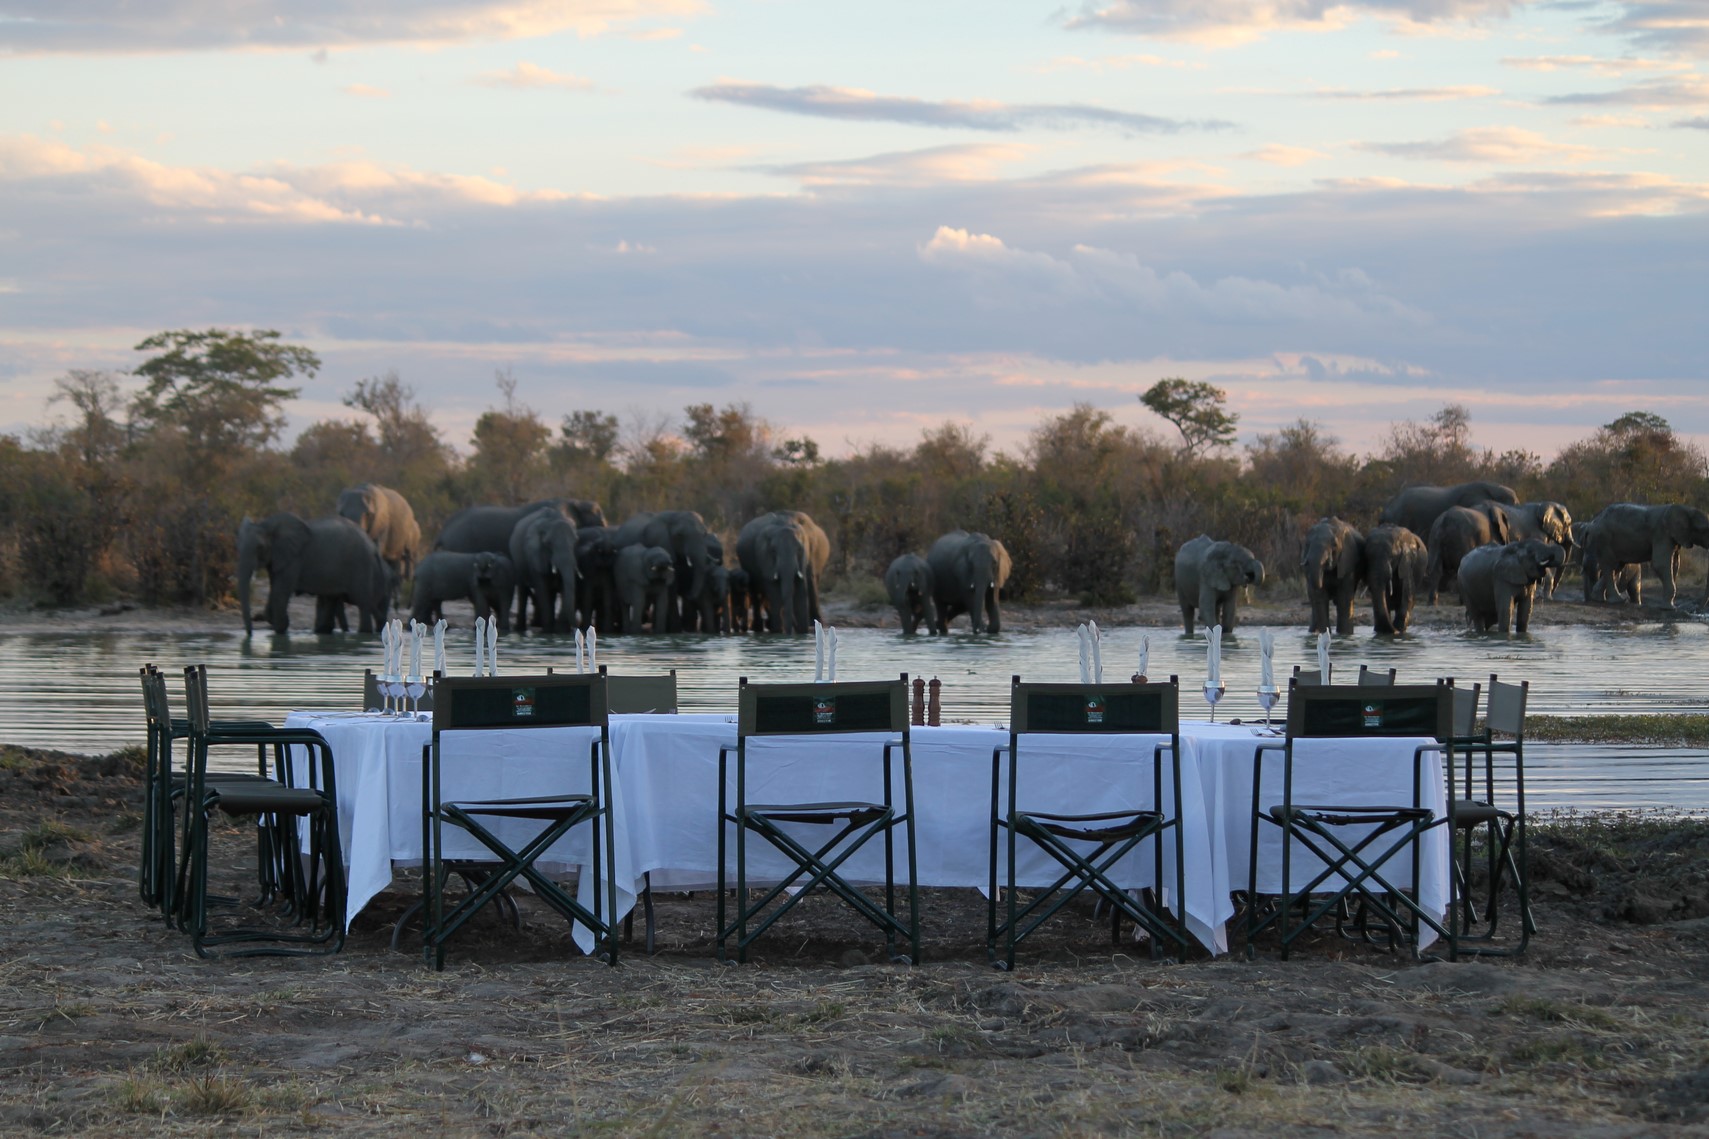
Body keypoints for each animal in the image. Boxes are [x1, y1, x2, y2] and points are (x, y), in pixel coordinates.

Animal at [237, 513, 390, 636]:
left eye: (259, 547)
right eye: (236, 545)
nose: (250, 633)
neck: (267, 524)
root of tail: (373, 547)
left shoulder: (294, 559)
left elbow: (281, 591)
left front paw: (280, 629)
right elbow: (274, 588)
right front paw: (274, 621)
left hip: (360, 565)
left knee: (362, 601)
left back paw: (365, 632)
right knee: (332, 599)